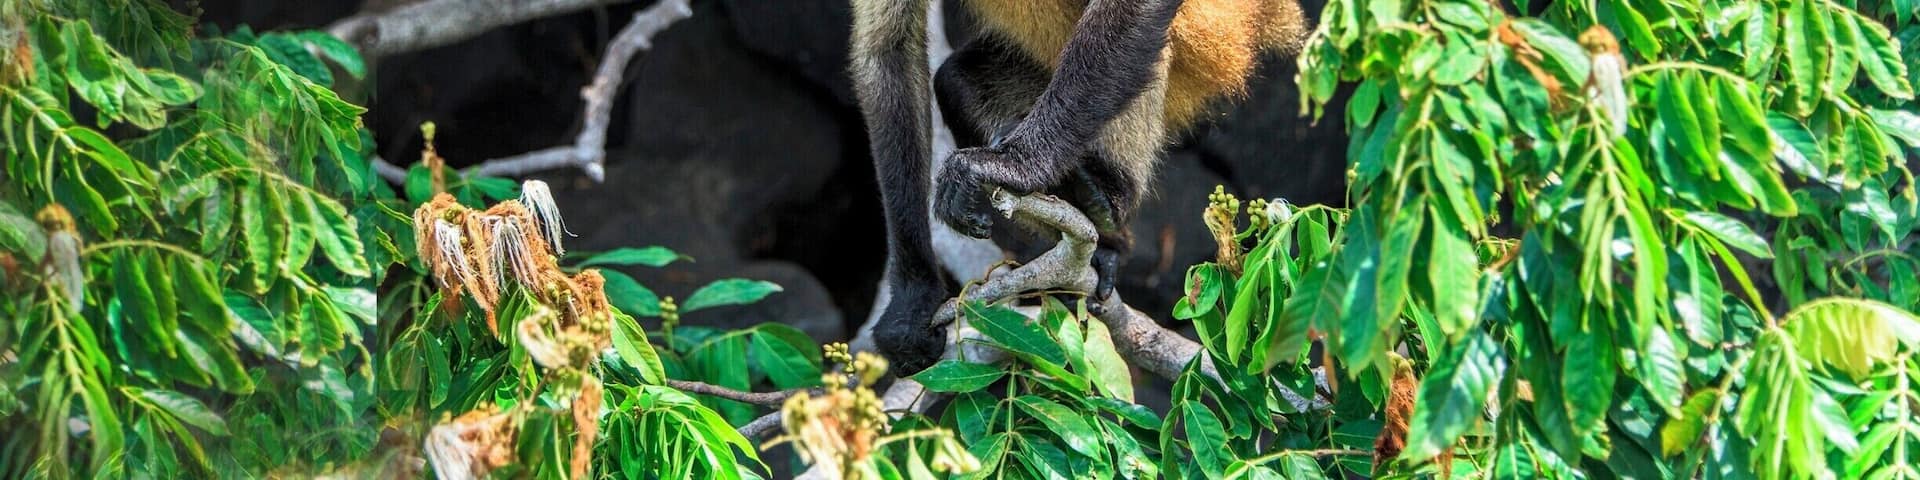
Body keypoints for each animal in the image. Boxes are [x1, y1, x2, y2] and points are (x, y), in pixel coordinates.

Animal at [852, 0, 1313, 374]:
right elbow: (887, 51)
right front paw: (912, 301)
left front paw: (1017, 166)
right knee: (955, 80)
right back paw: (1098, 232)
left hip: (1207, 43)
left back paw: (1108, 197)